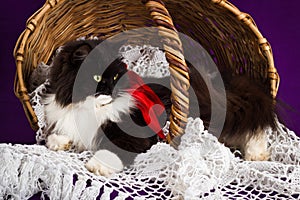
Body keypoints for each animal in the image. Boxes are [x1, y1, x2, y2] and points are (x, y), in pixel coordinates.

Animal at [42, 39, 276, 177]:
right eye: (97, 78)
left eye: (116, 77)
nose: (112, 90)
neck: (89, 108)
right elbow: (56, 135)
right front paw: (59, 143)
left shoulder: (131, 134)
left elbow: (110, 150)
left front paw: (98, 166)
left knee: (252, 128)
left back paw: (257, 155)